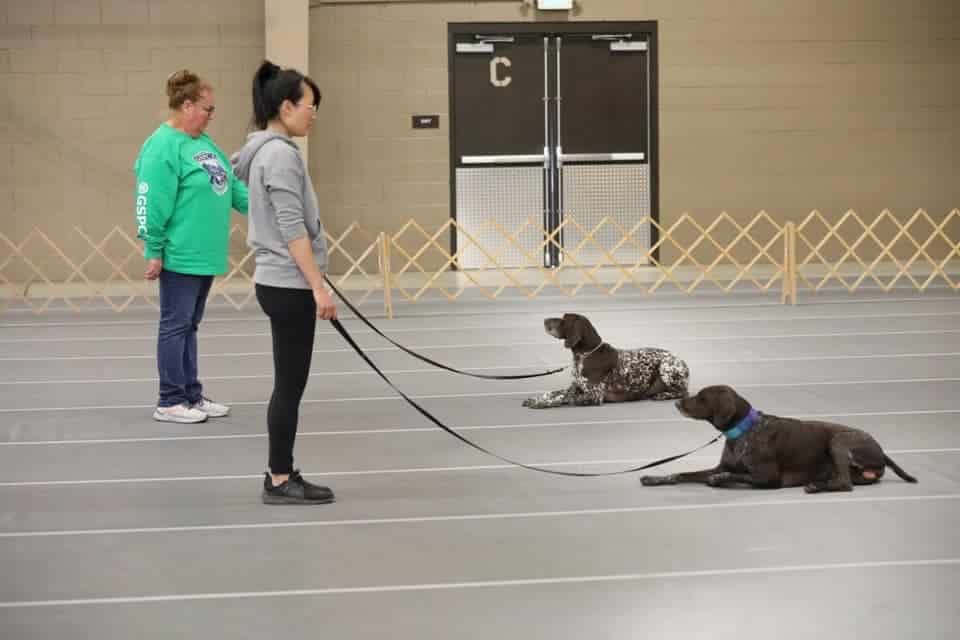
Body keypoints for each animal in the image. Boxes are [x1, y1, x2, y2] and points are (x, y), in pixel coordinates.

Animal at [524, 314, 688, 410]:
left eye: (564, 319)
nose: (544, 320)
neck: (584, 355)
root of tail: (681, 360)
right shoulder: (576, 388)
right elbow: (554, 393)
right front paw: (537, 399)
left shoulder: (595, 395)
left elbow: (565, 398)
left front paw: (542, 403)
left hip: (666, 367)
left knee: (682, 392)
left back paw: (662, 395)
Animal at [636, 382, 916, 492]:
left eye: (703, 397)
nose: (677, 403)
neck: (743, 431)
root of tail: (881, 452)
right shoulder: (719, 466)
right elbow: (681, 473)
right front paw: (655, 477)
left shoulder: (768, 478)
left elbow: (732, 476)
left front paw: (721, 480)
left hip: (839, 441)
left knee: (844, 484)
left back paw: (816, 486)